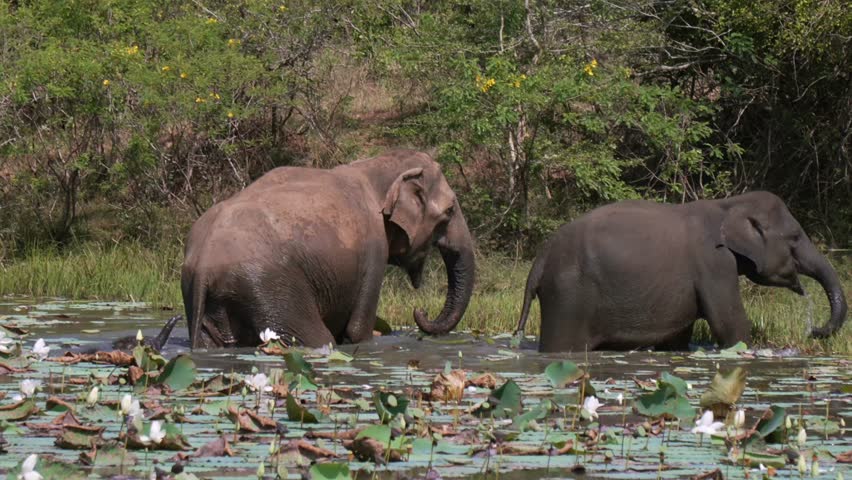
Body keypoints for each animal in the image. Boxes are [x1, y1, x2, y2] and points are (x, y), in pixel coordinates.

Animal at [181, 149, 475, 349]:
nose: (419, 311)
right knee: (317, 338)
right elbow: (357, 330)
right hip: (268, 288)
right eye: (449, 211)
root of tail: (203, 263)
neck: (376, 166)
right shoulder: (373, 248)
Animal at [515, 191, 848, 352]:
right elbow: (731, 325)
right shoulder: (714, 263)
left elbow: (677, 338)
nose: (814, 331)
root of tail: (539, 261)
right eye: (794, 238)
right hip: (568, 296)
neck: (729, 205)